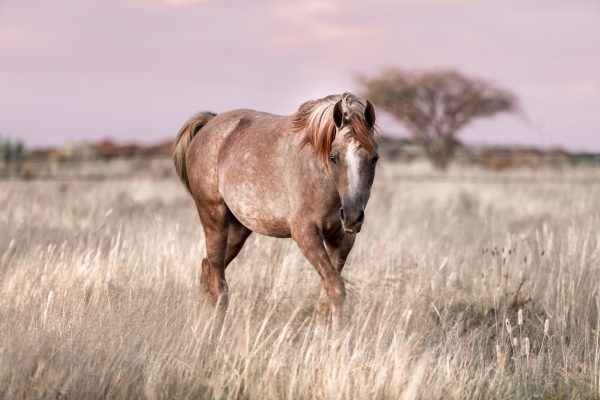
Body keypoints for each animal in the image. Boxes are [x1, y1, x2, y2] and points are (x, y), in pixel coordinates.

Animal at [173, 92, 378, 330]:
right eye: (334, 156)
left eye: (374, 158)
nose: (352, 217)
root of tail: (210, 123)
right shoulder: (306, 234)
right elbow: (336, 288)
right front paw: (337, 337)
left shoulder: (341, 240)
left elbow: (327, 291)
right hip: (214, 220)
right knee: (219, 284)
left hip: (238, 231)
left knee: (207, 268)